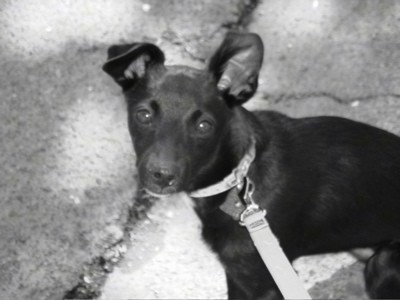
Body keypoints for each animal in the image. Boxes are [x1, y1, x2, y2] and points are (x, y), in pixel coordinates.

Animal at [101, 31, 400, 298]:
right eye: (143, 115)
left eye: (204, 125)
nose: (161, 176)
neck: (236, 179)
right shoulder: (237, 273)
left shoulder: (262, 280)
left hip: (383, 267)